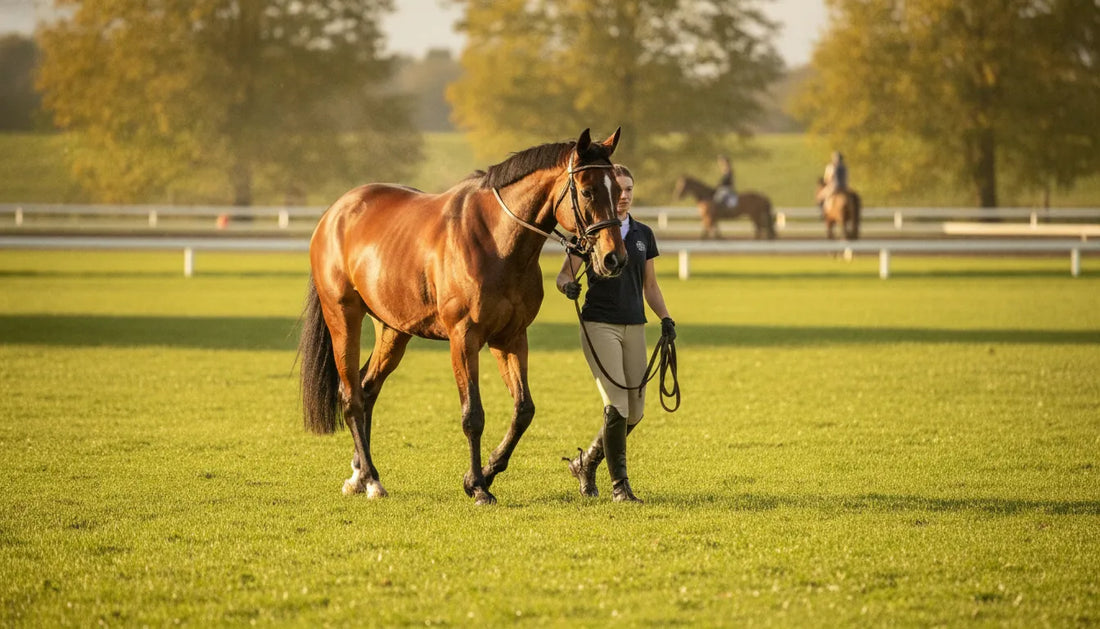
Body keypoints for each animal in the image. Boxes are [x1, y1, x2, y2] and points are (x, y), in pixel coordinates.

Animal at [298, 128, 627, 505]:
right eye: (587, 191)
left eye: (618, 191)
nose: (614, 258)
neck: (496, 240)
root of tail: (334, 214)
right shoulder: (463, 339)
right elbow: (473, 415)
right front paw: (479, 487)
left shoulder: (511, 338)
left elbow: (523, 410)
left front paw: (486, 472)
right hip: (343, 318)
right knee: (351, 397)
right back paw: (371, 479)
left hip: (393, 330)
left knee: (367, 390)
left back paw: (360, 475)